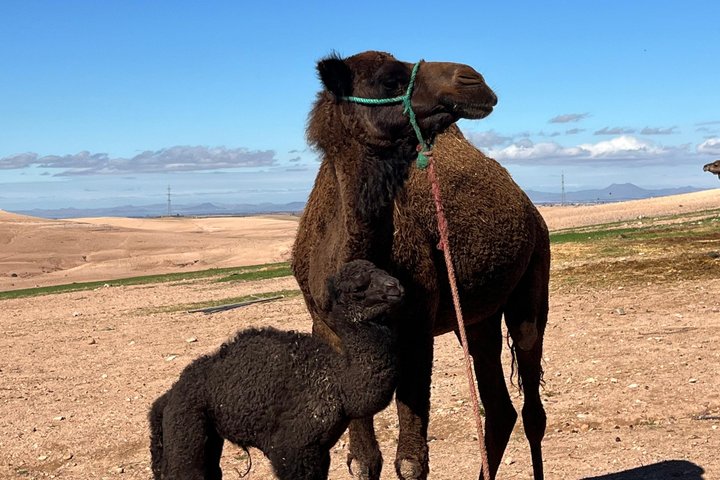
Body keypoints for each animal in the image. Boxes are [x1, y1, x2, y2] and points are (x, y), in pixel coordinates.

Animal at [292, 51, 550, 480]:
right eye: (388, 79)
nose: (473, 79)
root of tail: (531, 210)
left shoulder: (417, 324)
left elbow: (411, 460)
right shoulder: (327, 328)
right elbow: (363, 459)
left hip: (534, 276)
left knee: (533, 407)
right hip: (476, 319)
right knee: (500, 407)